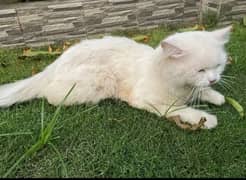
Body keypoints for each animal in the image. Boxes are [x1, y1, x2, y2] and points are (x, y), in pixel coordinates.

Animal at [0, 26, 232, 129]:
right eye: (200, 70)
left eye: (218, 66)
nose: (213, 79)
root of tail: (54, 64)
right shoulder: (149, 101)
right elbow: (183, 109)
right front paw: (207, 119)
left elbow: (201, 92)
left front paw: (215, 95)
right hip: (101, 79)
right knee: (50, 96)